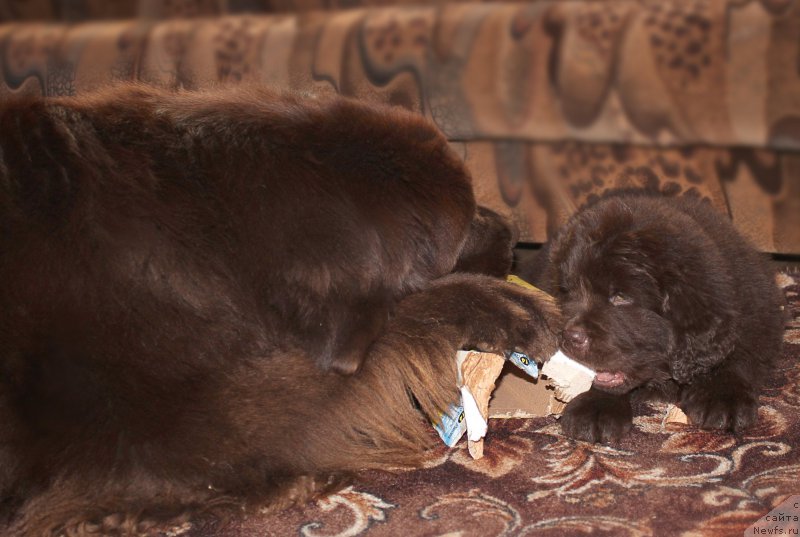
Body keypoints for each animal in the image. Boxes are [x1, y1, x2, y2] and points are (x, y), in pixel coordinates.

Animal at [0, 86, 560, 532]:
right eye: (465, 226)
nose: (515, 233)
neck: (216, 235)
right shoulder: (185, 426)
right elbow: (402, 322)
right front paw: (510, 307)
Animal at [520, 193, 788, 444]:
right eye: (569, 291)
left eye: (620, 297)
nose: (569, 335)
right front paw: (594, 408)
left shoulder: (756, 318)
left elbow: (738, 357)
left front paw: (723, 396)